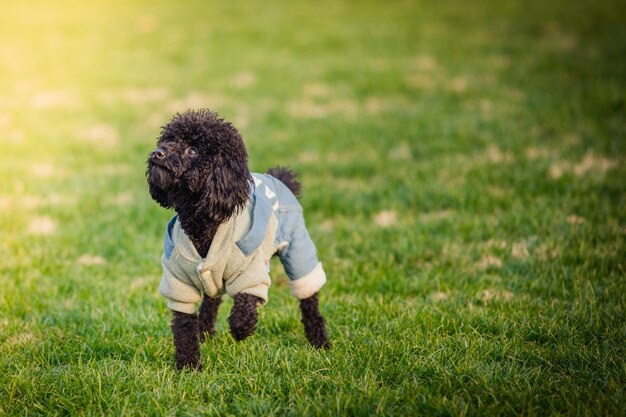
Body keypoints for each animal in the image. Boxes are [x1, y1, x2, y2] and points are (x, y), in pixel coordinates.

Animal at [147, 109, 332, 368]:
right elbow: (183, 326)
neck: (203, 221)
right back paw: (204, 333)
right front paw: (189, 366)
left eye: (193, 150)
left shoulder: (249, 268)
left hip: (297, 247)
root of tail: (279, 178)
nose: (157, 152)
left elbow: (246, 301)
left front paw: (241, 329)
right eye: (167, 140)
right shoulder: (178, 280)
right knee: (212, 300)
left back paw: (319, 342)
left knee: (309, 297)